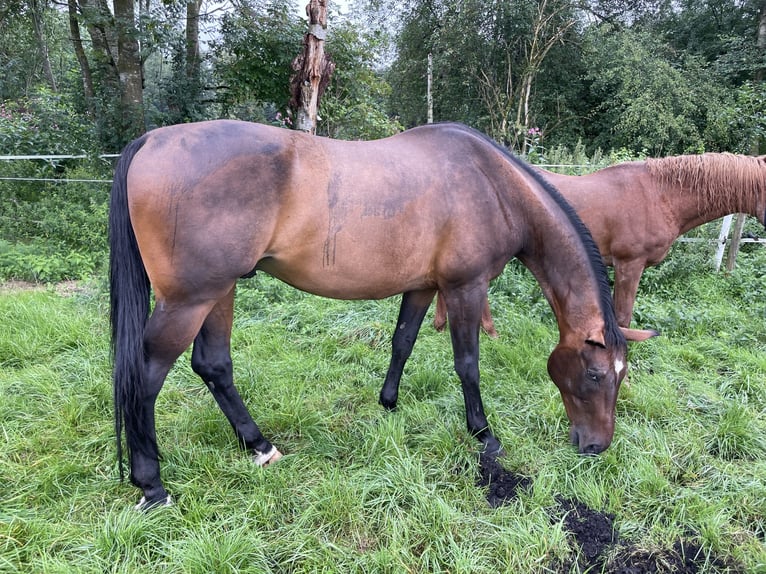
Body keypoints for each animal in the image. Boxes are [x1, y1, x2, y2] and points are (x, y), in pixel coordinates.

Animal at [109, 120, 657, 508]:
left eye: (620, 376)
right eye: (595, 375)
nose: (596, 447)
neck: (493, 184)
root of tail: (152, 141)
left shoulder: (421, 287)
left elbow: (403, 342)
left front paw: (389, 403)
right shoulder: (465, 288)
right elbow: (468, 365)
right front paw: (484, 435)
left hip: (218, 292)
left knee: (213, 365)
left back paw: (259, 446)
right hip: (191, 299)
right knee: (147, 374)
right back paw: (151, 484)